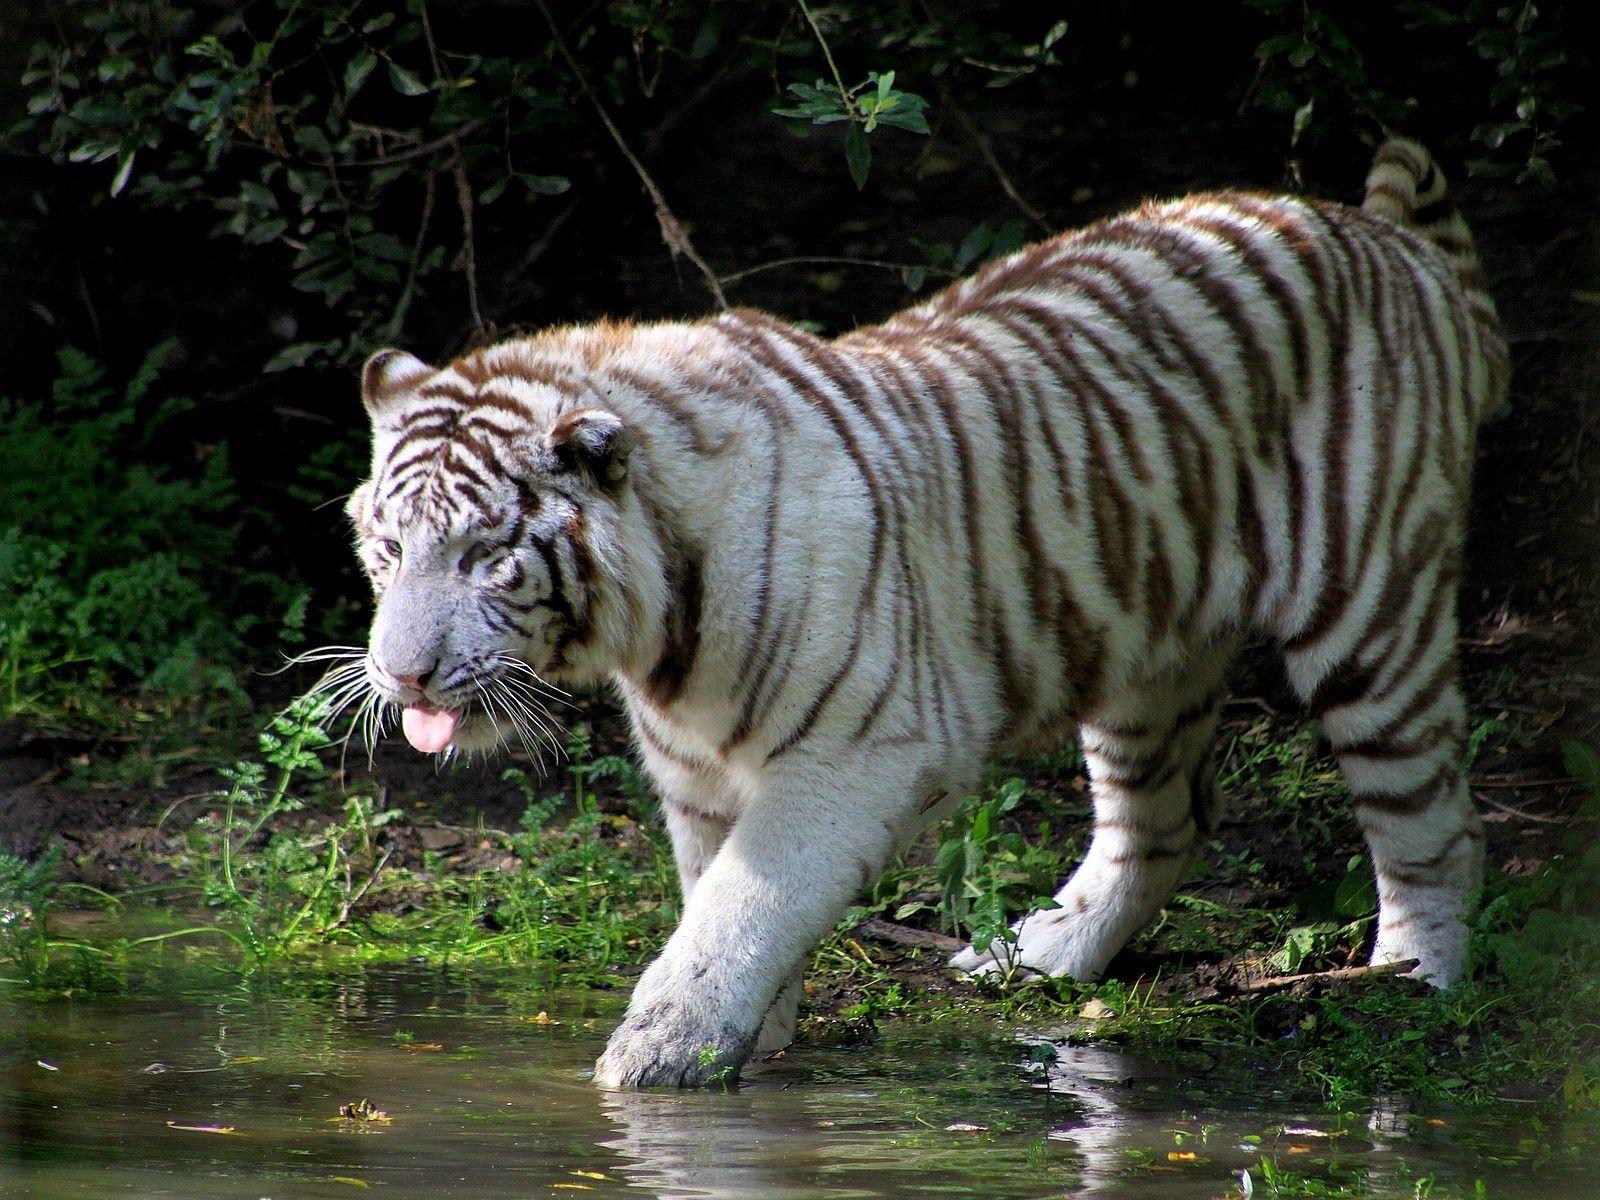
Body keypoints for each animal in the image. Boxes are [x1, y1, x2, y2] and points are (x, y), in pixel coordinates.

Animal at [342, 137, 1508, 1088]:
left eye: (486, 558)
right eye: (388, 550)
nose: (400, 674)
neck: (661, 626)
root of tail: (1379, 233)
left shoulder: (865, 749)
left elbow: (741, 907)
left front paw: (663, 1051)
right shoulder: (697, 779)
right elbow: (718, 896)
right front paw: (753, 1040)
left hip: (1370, 616)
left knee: (1433, 819)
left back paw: (1414, 976)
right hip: (1146, 655)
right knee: (1164, 821)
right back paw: (1039, 956)